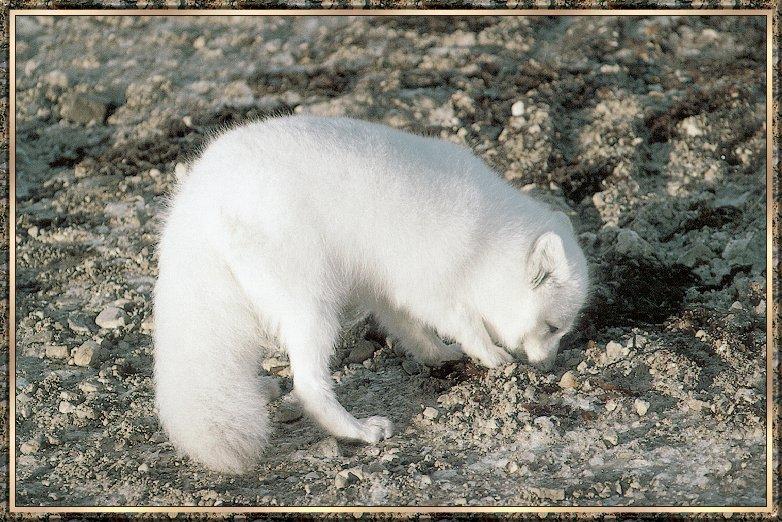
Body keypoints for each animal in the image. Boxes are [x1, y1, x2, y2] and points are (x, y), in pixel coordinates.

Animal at [153, 114, 592, 472]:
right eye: (552, 327)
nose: (547, 366)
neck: (485, 241)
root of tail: (195, 199)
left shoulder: (387, 290)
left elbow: (413, 331)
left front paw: (440, 355)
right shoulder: (431, 285)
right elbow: (465, 323)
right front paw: (492, 357)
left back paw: (261, 388)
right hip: (313, 302)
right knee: (308, 384)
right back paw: (359, 431)